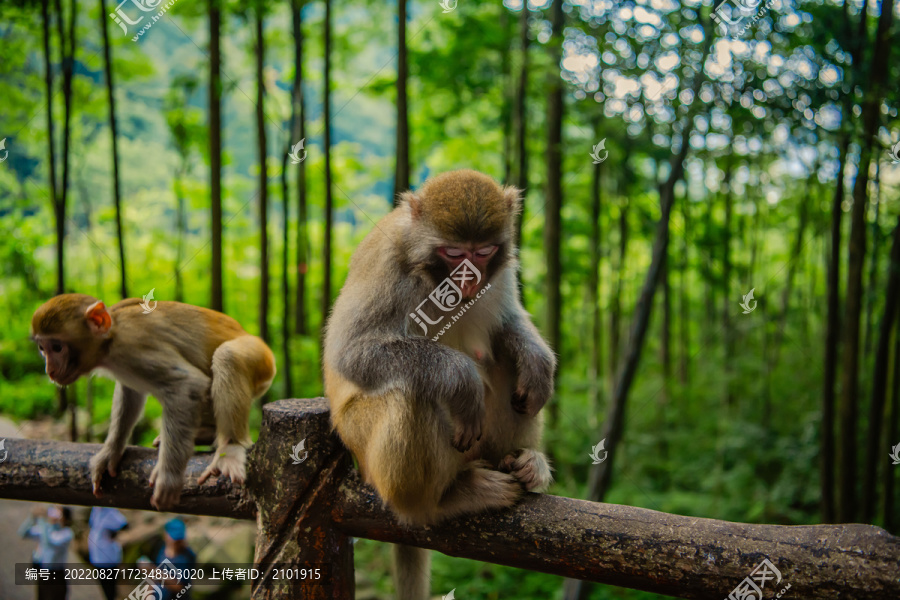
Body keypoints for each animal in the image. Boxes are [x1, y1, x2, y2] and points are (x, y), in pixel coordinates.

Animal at [30, 292, 274, 508]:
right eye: (42, 348)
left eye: (57, 347)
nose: (50, 371)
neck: (110, 339)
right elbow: (130, 394)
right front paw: (111, 451)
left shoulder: (134, 347)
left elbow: (187, 384)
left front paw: (169, 476)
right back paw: (204, 433)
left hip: (259, 357)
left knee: (227, 357)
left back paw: (230, 448)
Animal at [324, 169, 556, 600]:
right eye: (452, 253)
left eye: (482, 253)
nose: (468, 283)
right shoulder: (388, 263)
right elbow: (351, 352)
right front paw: (461, 379)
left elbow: (507, 321)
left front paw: (538, 360)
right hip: (365, 449)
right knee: (411, 389)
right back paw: (439, 502)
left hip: (478, 447)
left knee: (501, 358)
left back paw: (525, 461)